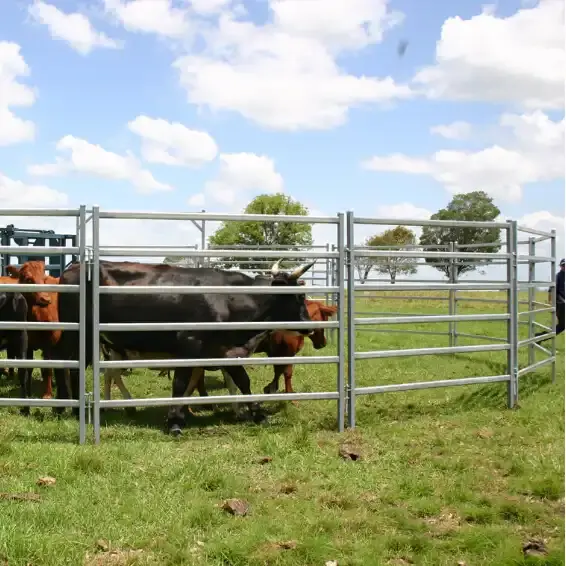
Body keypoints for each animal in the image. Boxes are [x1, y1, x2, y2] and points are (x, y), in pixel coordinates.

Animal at [53, 260, 318, 438]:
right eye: (299, 296)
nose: (309, 326)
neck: (228, 300)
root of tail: (73, 267)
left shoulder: (224, 351)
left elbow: (243, 380)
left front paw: (257, 414)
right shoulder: (188, 346)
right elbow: (180, 383)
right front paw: (174, 421)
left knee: (80, 366)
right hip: (74, 332)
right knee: (62, 361)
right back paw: (62, 407)